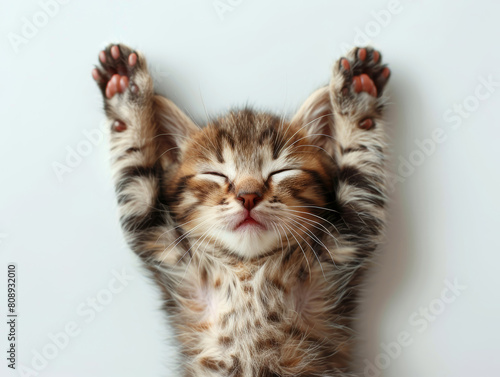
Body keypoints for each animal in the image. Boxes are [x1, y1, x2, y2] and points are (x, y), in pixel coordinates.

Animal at [94, 44, 390, 376]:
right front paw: (126, 92)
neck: (246, 265)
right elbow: (136, 176)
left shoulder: (348, 239)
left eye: (281, 171)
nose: (248, 196)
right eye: (216, 174)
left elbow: (361, 171)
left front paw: (358, 97)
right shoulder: (157, 239)